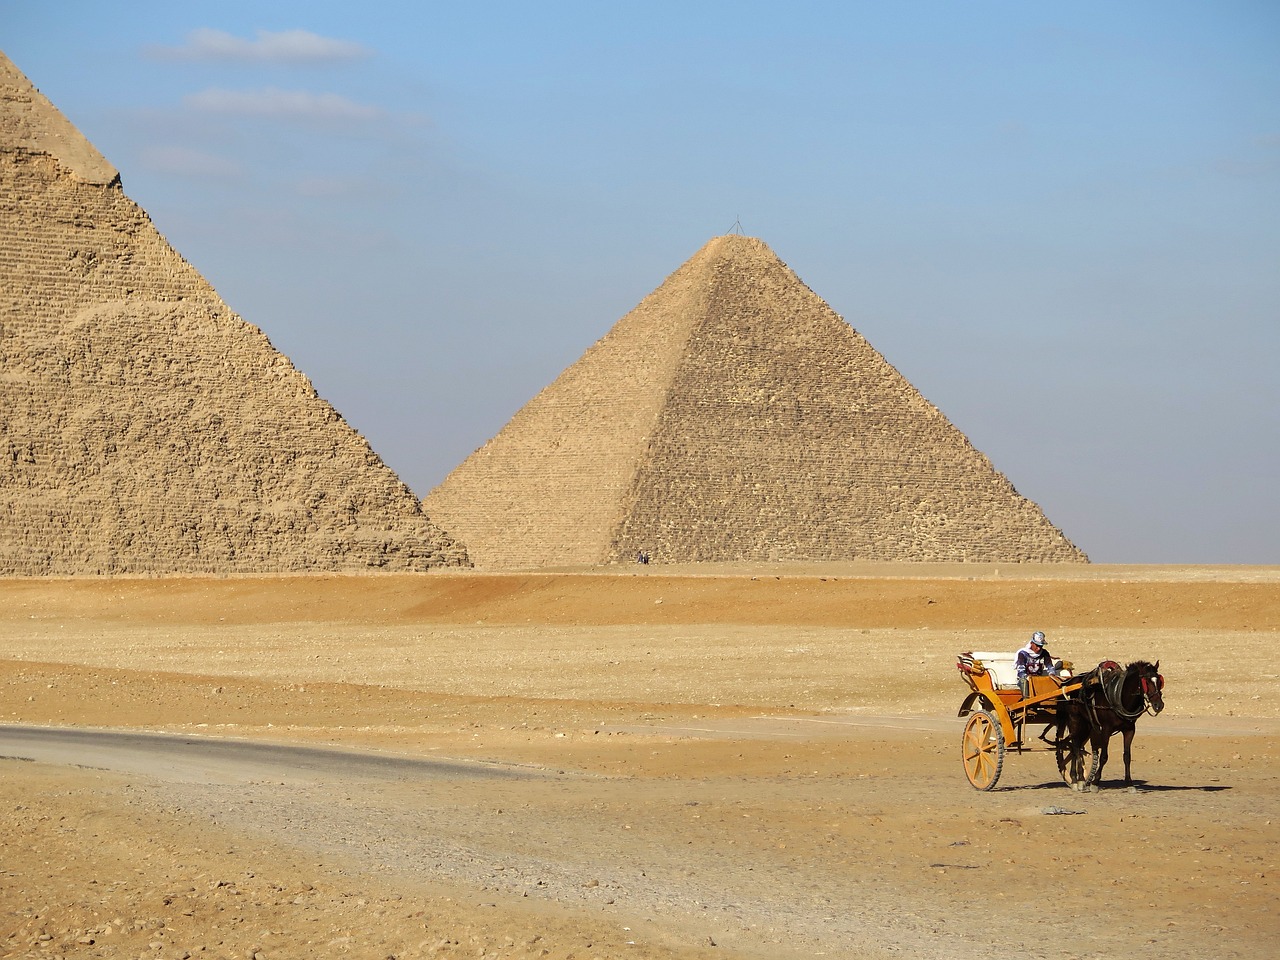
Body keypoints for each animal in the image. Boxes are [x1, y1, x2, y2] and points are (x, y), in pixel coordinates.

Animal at [1054, 660, 1167, 788]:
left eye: (1160, 681)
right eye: (1146, 682)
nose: (1159, 705)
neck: (1120, 697)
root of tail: (1067, 682)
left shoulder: (1129, 730)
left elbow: (1127, 756)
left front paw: (1129, 783)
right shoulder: (1106, 729)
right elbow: (1104, 756)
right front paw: (1095, 782)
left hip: (1086, 723)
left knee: (1074, 746)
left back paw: (1074, 779)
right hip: (1074, 718)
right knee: (1076, 746)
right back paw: (1080, 779)